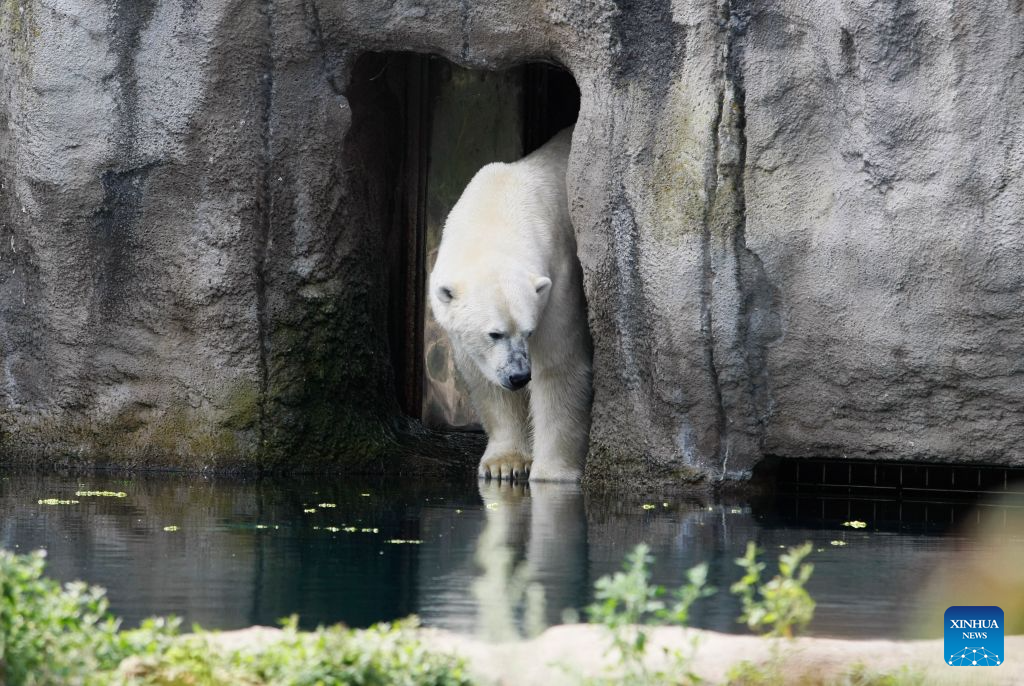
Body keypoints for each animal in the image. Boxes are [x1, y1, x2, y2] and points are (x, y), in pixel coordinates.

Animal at [429, 126, 592, 482]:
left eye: (529, 332)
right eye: (495, 334)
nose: (519, 376)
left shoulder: (559, 280)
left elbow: (559, 366)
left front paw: (552, 473)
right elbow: (484, 377)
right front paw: (505, 464)